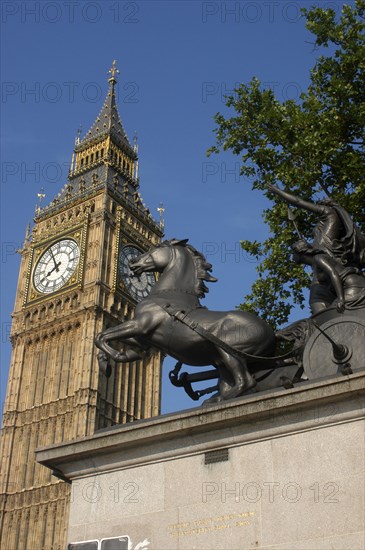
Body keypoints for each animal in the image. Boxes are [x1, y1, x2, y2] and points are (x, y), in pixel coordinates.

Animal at [95, 239, 274, 404]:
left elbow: (101, 336)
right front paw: (112, 361)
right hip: (221, 359)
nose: (133, 261)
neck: (170, 294)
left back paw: (218, 400)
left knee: (246, 381)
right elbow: (108, 339)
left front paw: (111, 361)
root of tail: (270, 332)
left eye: (157, 247)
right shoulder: (145, 341)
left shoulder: (141, 325)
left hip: (229, 350)